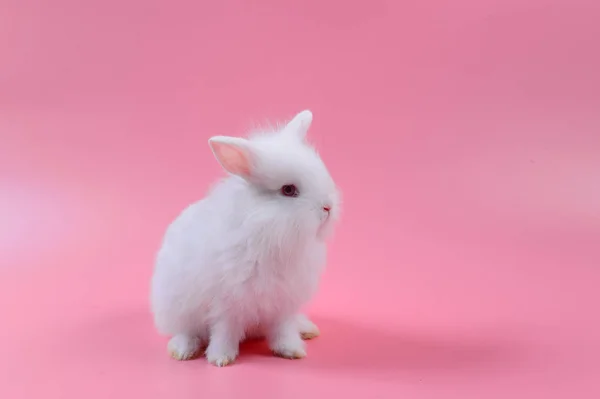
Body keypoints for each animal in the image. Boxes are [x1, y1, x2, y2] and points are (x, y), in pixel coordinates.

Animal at [150, 111, 340, 368]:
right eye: (288, 190)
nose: (327, 207)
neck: (268, 233)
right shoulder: (227, 304)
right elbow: (225, 331)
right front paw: (220, 358)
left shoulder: (282, 304)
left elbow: (283, 330)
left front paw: (292, 350)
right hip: (176, 307)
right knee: (185, 331)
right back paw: (182, 350)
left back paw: (307, 328)